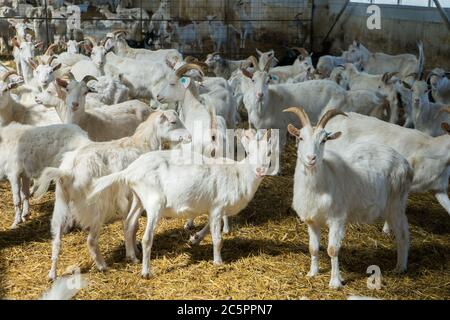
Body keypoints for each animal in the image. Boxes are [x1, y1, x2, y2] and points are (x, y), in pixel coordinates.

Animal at [286, 108, 414, 290]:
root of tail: (405, 163)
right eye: (300, 137)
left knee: (403, 234)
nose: (311, 158)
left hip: (397, 201)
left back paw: (400, 267)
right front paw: (312, 273)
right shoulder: (312, 220)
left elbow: (332, 250)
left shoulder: (337, 219)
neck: (325, 178)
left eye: (324, 140)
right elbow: (313, 248)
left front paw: (335, 282)